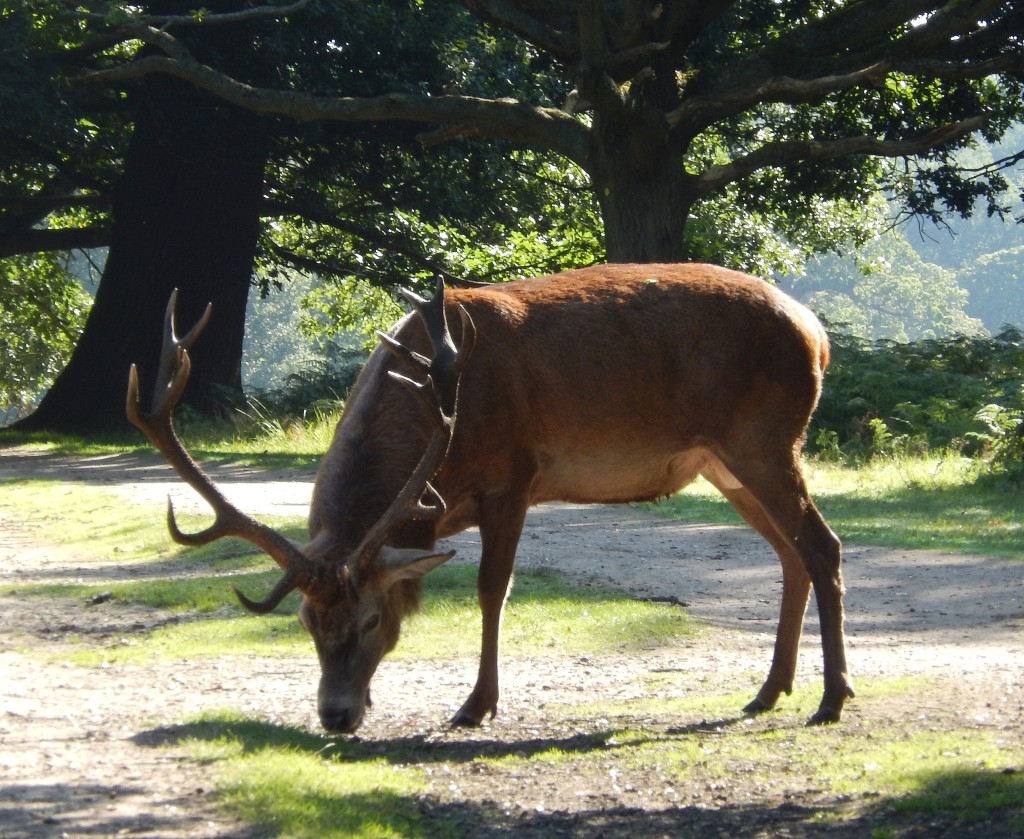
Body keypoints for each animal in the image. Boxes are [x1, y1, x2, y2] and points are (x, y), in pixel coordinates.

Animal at [132, 264, 860, 733]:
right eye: (308, 623)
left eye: (370, 619)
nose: (335, 715)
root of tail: (819, 335)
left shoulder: (514, 474)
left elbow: (492, 589)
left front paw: (476, 705)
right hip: (726, 463)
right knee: (792, 554)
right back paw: (768, 691)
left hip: (766, 440)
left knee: (823, 545)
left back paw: (831, 697)